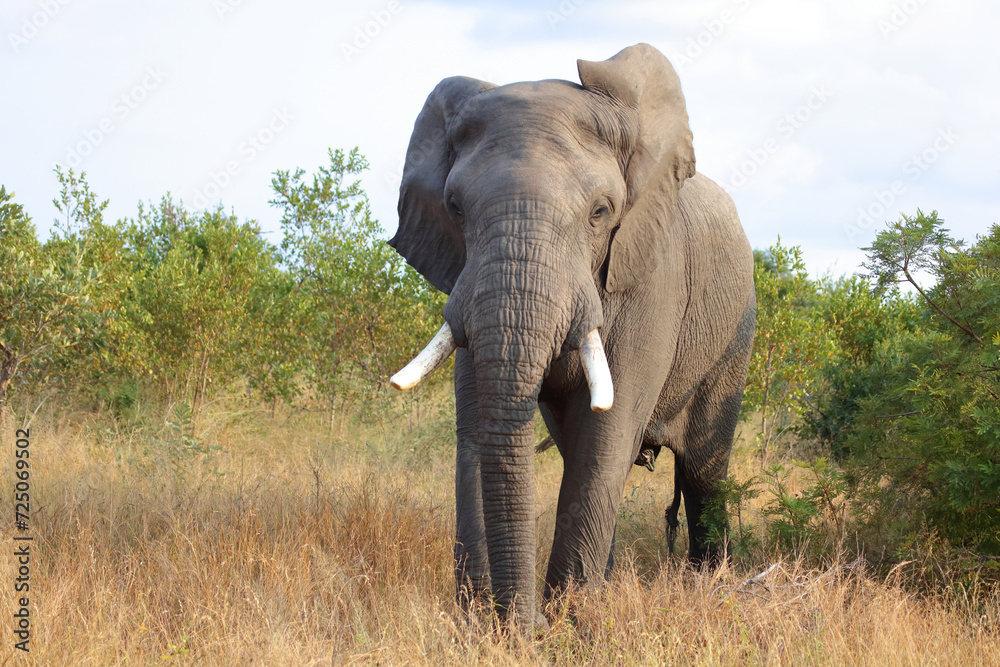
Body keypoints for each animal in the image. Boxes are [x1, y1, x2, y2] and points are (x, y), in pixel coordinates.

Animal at [388, 43, 755, 627]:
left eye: (601, 212)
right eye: (455, 208)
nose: (525, 623)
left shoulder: (652, 278)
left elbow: (606, 433)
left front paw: (569, 624)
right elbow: (478, 427)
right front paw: (481, 624)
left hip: (734, 335)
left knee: (703, 470)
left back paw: (709, 586)